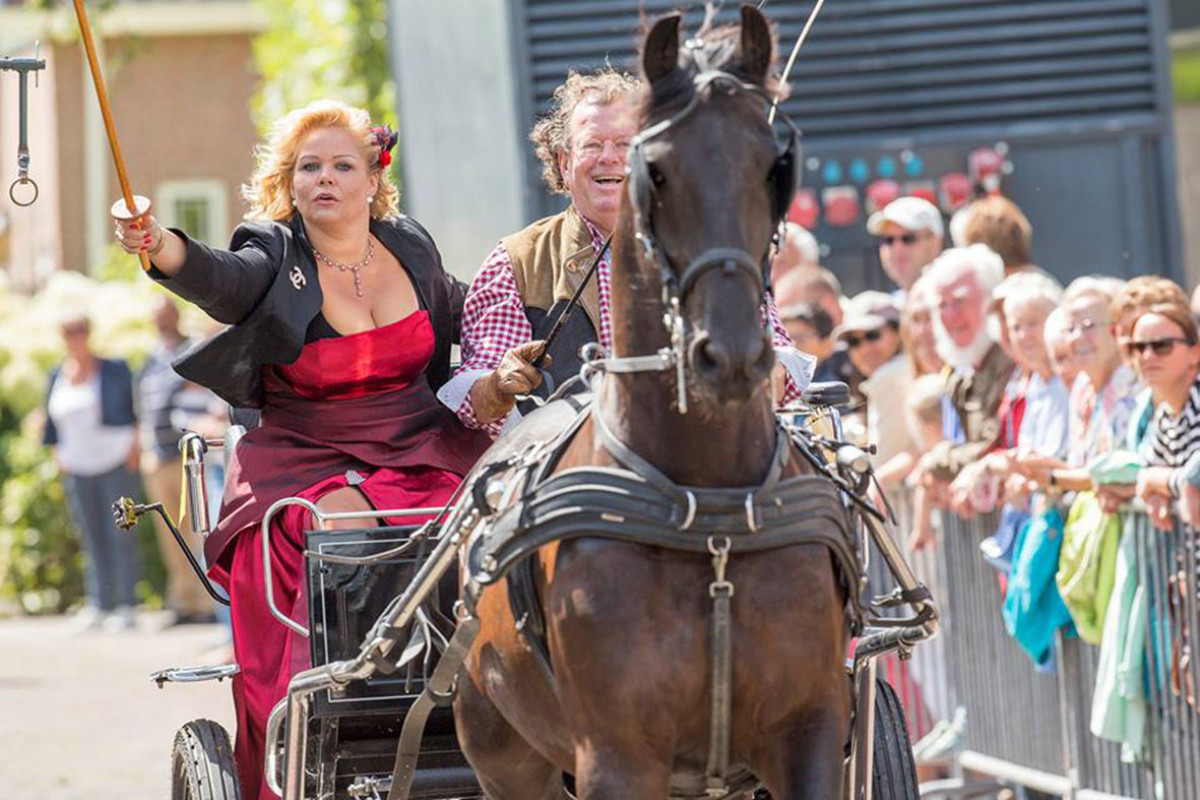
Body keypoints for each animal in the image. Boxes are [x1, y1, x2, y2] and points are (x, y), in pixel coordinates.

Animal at [451, 7, 854, 800]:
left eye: (776, 165)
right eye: (655, 169)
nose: (730, 355)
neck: (709, 507)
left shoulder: (813, 728)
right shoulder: (619, 753)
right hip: (503, 751)